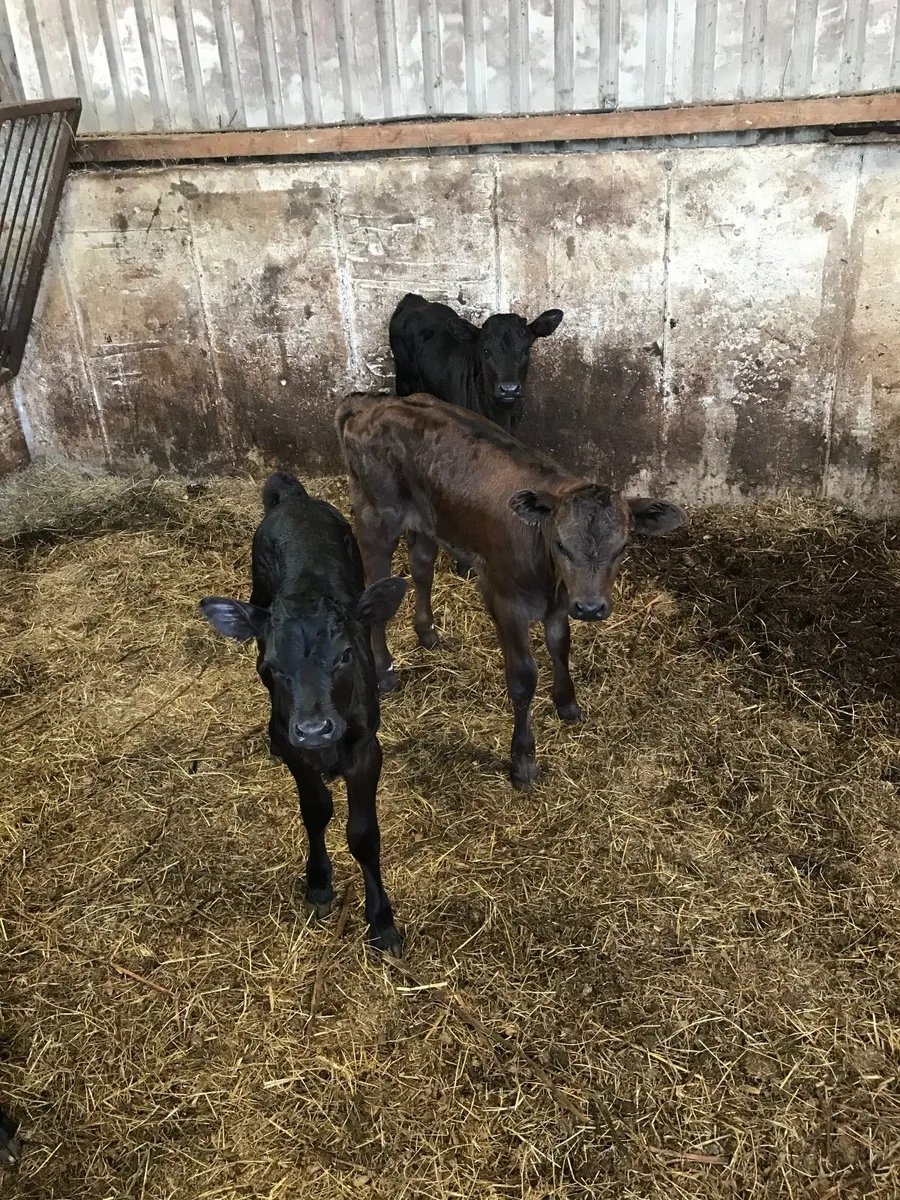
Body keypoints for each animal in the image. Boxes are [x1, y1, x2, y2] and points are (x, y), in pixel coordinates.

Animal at [199, 472, 408, 956]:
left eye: (346, 655)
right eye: (273, 665)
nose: (313, 729)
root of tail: (296, 498)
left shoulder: (366, 749)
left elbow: (363, 834)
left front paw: (382, 921)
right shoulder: (297, 748)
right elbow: (315, 810)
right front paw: (318, 882)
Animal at [336, 394, 686, 790]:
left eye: (622, 546)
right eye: (561, 544)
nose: (591, 608)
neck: (549, 577)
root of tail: (375, 402)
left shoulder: (559, 604)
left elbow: (560, 646)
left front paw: (567, 704)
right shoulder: (506, 604)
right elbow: (523, 677)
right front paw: (522, 762)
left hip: (427, 520)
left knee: (422, 565)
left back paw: (426, 631)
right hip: (375, 519)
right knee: (375, 591)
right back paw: (383, 672)